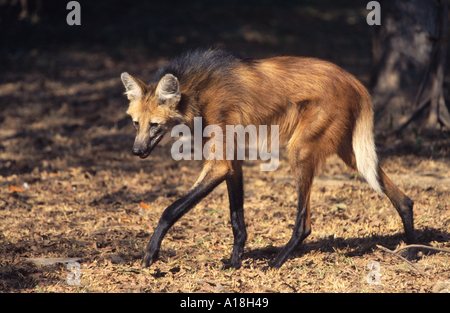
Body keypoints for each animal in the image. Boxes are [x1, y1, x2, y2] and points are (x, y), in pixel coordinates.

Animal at [121, 48, 416, 268]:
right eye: (136, 124)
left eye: (155, 125)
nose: (136, 151)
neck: (196, 92)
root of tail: (354, 81)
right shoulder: (231, 161)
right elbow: (236, 219)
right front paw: (235, 262)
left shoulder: (219, 164)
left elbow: (170, 210)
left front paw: (150, 253)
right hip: (348, 152)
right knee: (401, 197)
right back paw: (413, 248)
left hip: (300, 151)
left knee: (304, 223)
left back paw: (276, 262)